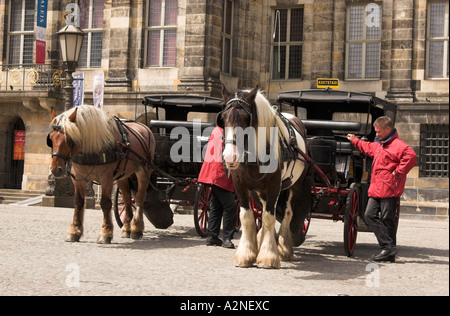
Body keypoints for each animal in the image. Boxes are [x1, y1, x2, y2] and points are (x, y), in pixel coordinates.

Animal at [47, 105, 156, 243]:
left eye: (69, 139)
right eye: (50, 138)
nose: (55, 169)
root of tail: (145, 127)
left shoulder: (106, 179)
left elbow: (105, 203)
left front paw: (105, 233)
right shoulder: (78, 180)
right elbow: (78, 203)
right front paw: (74, 231)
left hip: (143, 171)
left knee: (140, 198)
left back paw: (136, 228)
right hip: (122, 176)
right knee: (127, 199)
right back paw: (127, 228)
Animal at [218, 85, 312, 268]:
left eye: (246, 118)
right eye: (223, 118)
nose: (230, 156)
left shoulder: (274, 185)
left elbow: (269, 217)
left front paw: (268, 256)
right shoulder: (241, 185)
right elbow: (247, 216)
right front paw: (246, 254)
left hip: (294, 186)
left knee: (287, 213)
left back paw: (283, 247)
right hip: (259, 191)